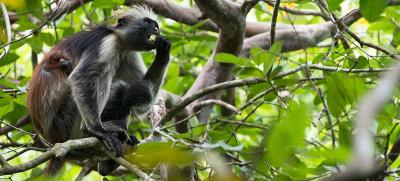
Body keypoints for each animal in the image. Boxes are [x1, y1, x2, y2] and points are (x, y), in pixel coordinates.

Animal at [26, 6, 170, 176]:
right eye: (147, 22)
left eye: (155, 24)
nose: (156, 29)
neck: (119, 41)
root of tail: (51, 138)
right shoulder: (107, 43)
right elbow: (81, 77)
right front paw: (97, 129)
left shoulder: (128, 53)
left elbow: (143, 100)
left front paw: (163, 52)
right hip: (65, 121)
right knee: (103, 78)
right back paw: (90, 130)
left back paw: (109, 162)